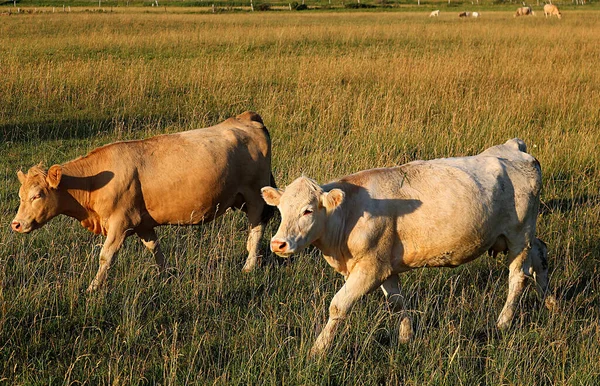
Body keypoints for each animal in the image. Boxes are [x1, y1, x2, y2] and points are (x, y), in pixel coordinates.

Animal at [11, 110, 276, 292]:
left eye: (37, 195)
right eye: (20, 196)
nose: (16, 224)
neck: (94, 181)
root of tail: (245, 118)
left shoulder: (120, 222)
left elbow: (106, 256)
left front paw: (92, 288)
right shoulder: (143, 223)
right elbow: (154, 248)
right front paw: (167, 275)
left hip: (255, 195)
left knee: (256, 228)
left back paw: (249, 265)